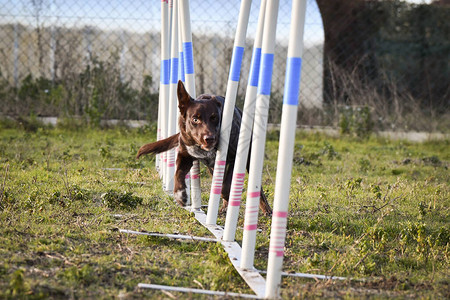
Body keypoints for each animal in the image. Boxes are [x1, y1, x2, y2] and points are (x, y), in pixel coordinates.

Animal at [136, 81, 270, 214]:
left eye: (215, 118)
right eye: (195, 119)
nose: (209, 138)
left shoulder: (234, 158)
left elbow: (225, 186)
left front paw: (227, 196)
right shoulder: (185, 156)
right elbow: (178, 173)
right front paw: (180, 195)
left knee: (257, 188)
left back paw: (266, 209)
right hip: (212, 167)